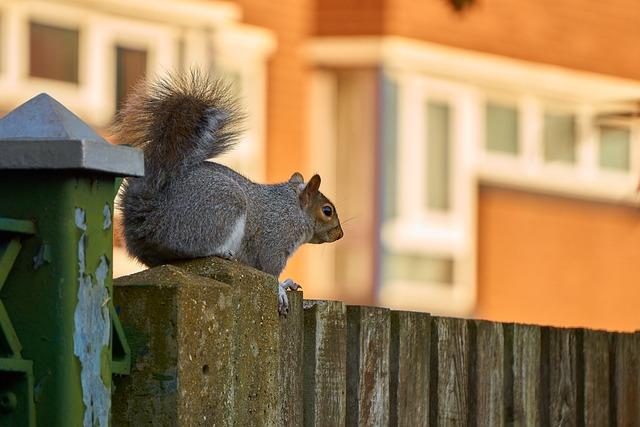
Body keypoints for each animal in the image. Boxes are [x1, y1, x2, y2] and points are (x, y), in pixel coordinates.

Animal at [115, 71, 344, 314]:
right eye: (327, 211)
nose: (340, 234)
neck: (293, 208)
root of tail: (150, 214)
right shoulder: (275, 239)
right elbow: (270, 270)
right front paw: (281, 288)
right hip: (220, 211)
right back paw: (221, 252)